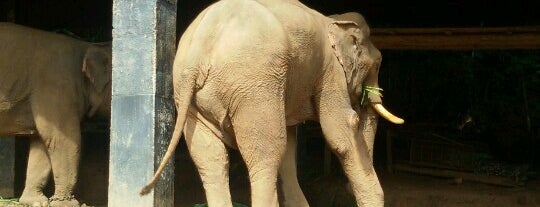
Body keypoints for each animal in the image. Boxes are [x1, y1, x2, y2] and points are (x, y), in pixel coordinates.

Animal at [0, 23, 111, 207]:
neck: (87, 45)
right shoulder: (56, 85)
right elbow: (63, 140)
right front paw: (69, 204)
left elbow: (42, 143)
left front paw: (36, 201)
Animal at [141, 0, 402, 206]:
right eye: (379, 63)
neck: (334, 19)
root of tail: (198, 53)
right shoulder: (330, 72)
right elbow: (340, 130)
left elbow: (290, 147)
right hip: (254, 86)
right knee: (266, 152)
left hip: (191, 97)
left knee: (211, 159)